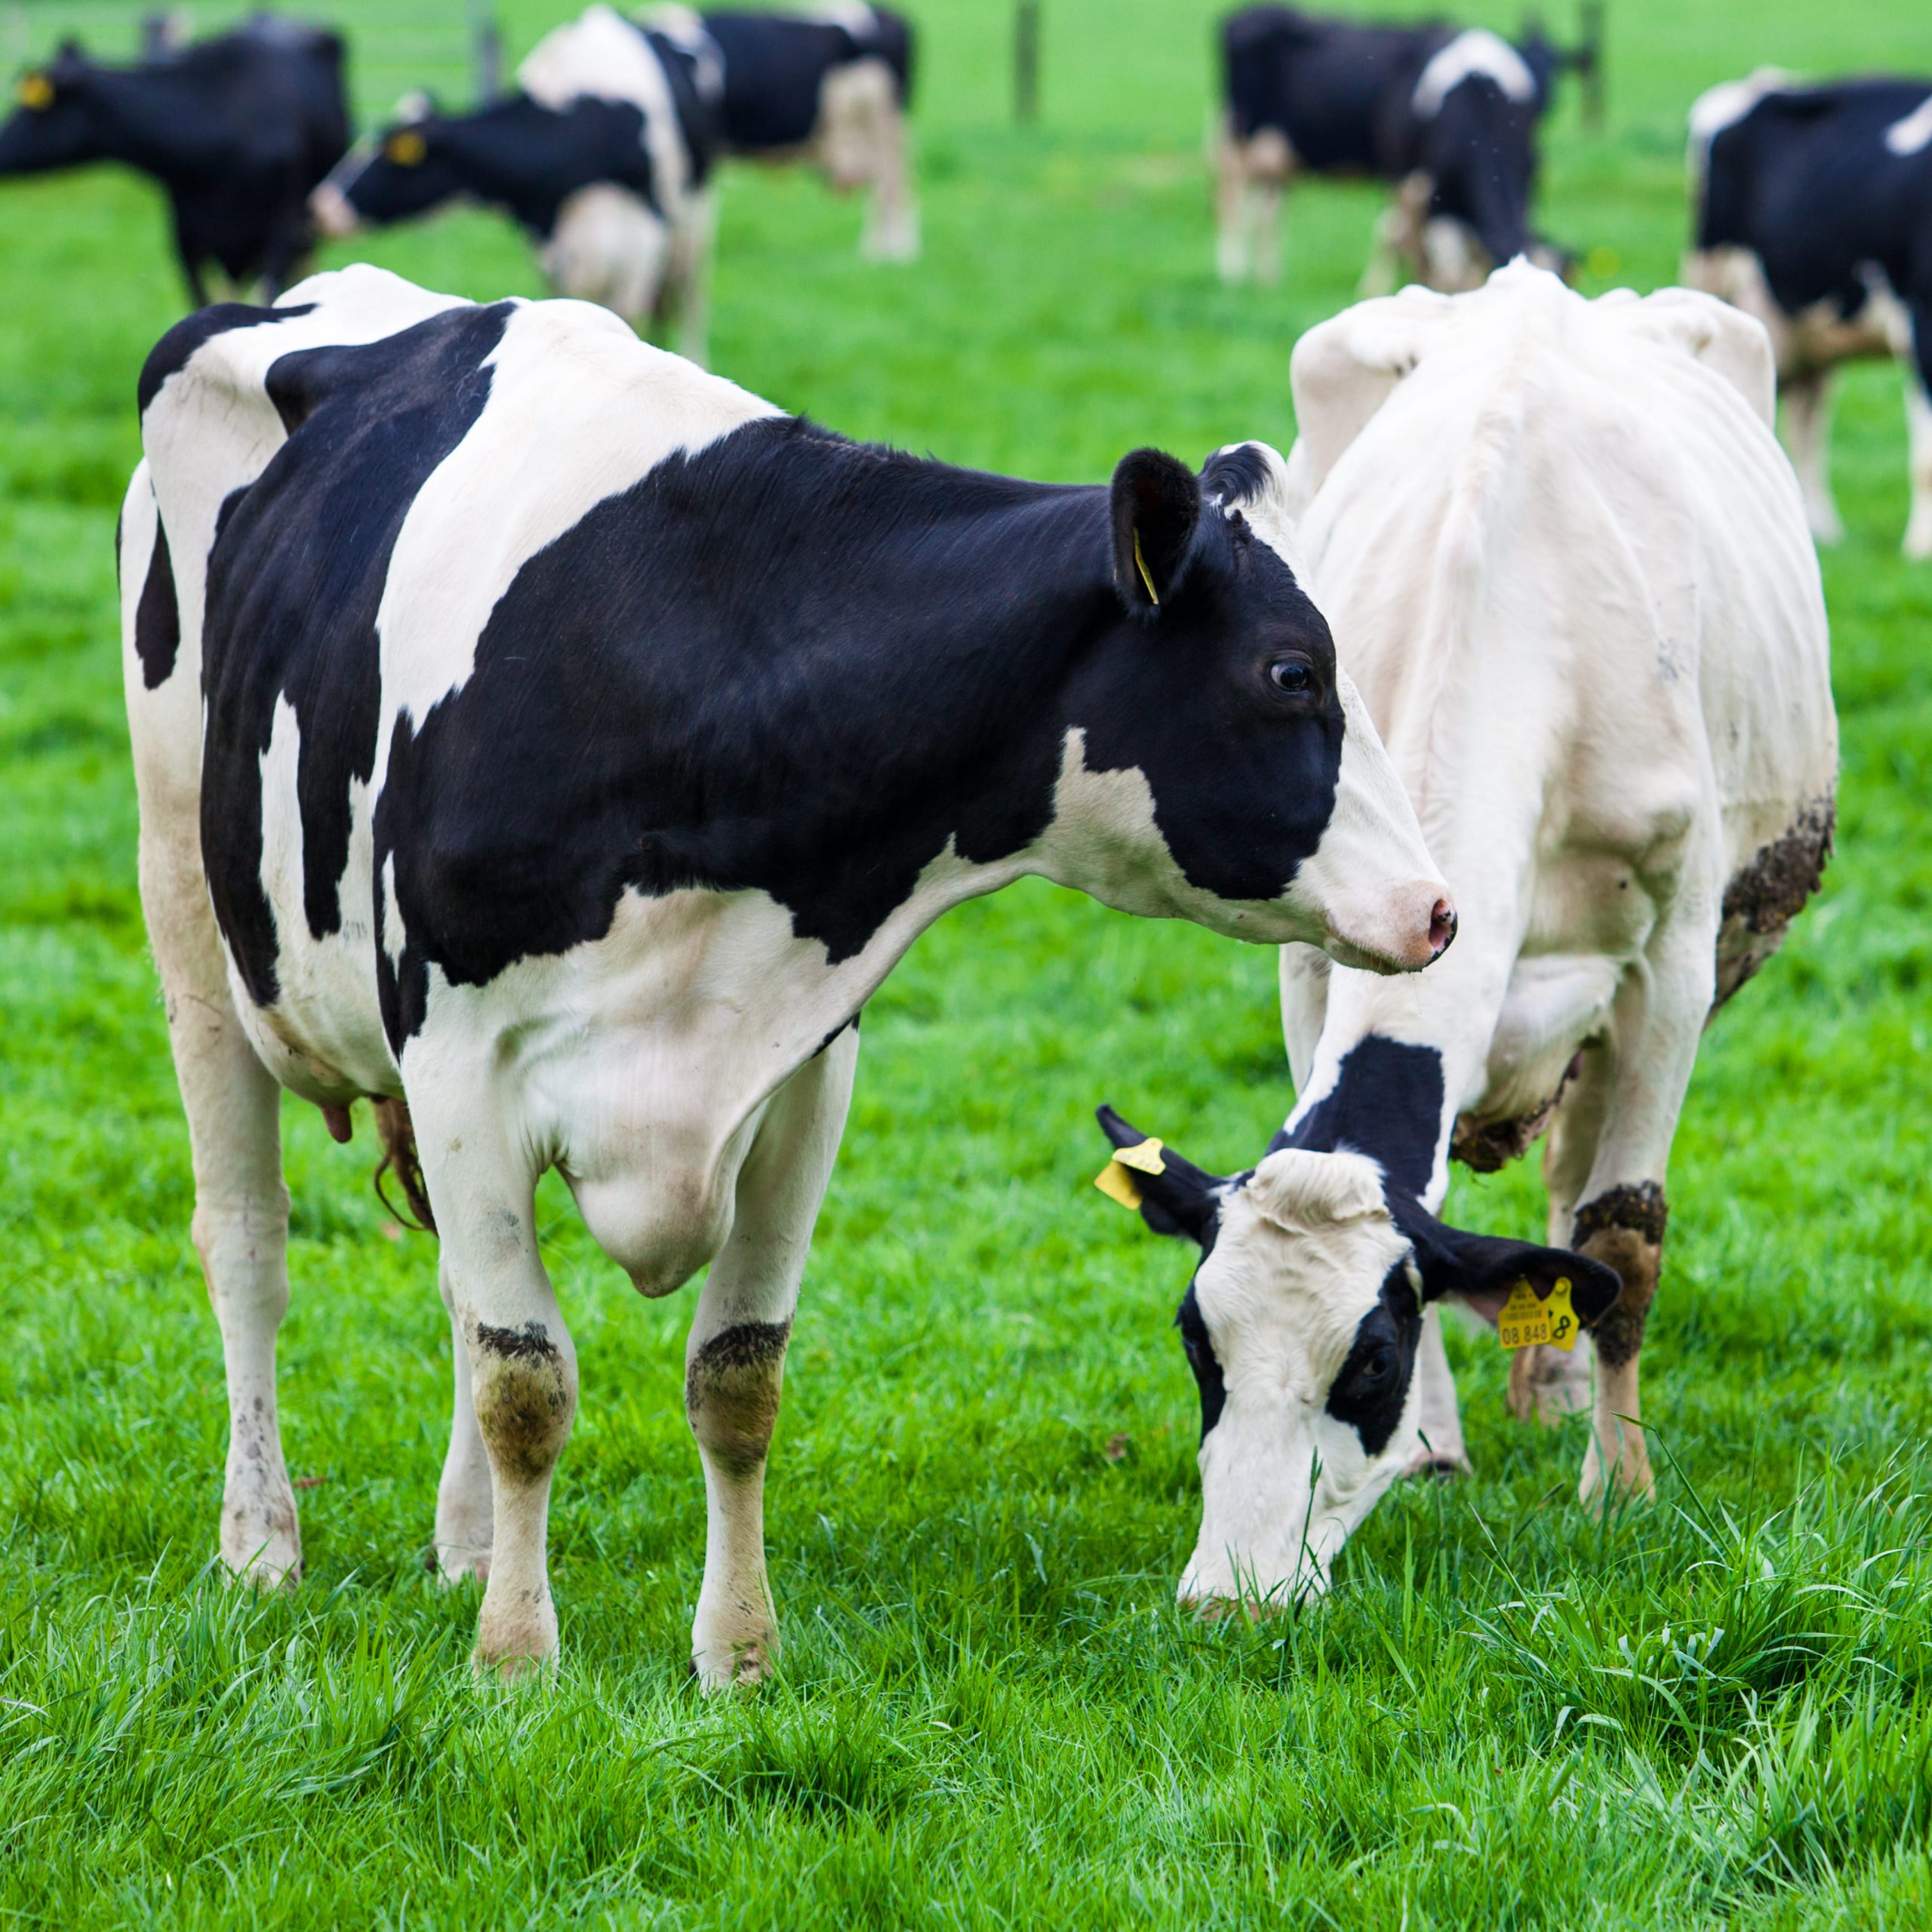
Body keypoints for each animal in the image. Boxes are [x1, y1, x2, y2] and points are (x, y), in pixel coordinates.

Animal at [123, 263, 1458, 1683]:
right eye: (1291, 672)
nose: (1439, 909)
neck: (696, 682)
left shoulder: (805, 1071)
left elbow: (736, 1375)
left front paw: (738, 1655)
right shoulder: (459, 1061)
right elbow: (525, 1378)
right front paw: (519, 1661)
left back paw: (469, 1545)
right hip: (186, 908)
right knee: (248, 1245)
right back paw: (261, 1544)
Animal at [1095, 265, 1837, 1610]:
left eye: (1368, 1361)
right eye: (1197, 1343)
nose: (1229, 1599)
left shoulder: (1673, 964)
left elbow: (1622, 1235)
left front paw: (1620, 1488)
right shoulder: (1320, 948)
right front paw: (1438, 1457)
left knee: (1579, 1197)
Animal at [1213, 8, 1577, 294]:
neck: (1479, 98)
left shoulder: (1526, 174)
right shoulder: (1423, 188)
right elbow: (1417, 249)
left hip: (1276, 159)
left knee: (1266, 212)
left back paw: (1268, 280)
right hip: (1236, 139)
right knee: (1233, 202)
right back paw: (1233, 273)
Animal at [1686, 71, 1932, 559]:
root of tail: (1762, 81)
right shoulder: (1922, 317)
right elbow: (1927, 459)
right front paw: (1922, 548)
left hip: (1805, 331)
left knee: (1806, 422)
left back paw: (1820, 529)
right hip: (1714, 278)